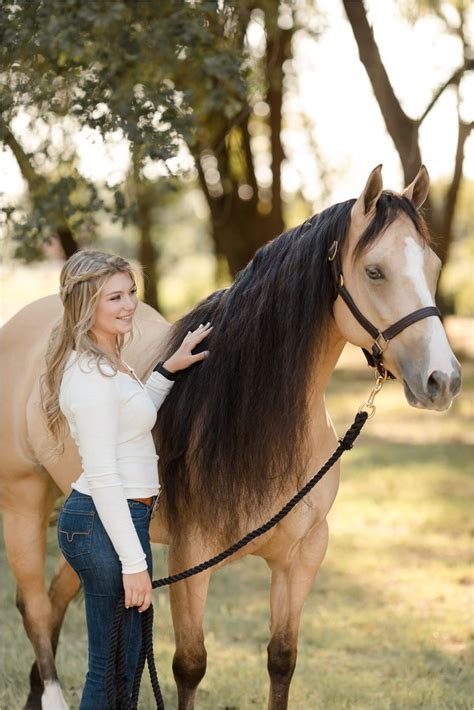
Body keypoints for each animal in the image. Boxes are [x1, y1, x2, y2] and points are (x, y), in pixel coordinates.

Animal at [0, 164, 460, 708]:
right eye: (375, 271)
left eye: (432, 265)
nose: (443, 381)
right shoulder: (190, 559)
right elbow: (189, 666)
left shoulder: (301, 558)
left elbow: (282, 660)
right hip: (24, 499)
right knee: (33, 604)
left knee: (58, 598)